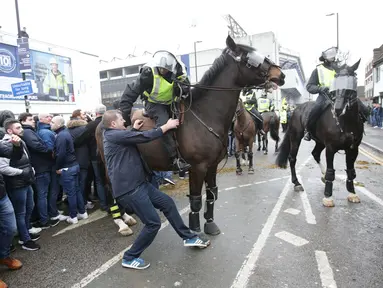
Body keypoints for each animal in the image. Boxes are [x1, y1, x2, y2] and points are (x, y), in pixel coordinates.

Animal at [97, 35, 286, 235]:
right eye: (250, 59)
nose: (280, 75)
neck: (205, 115)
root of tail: (103, 122)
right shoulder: (197, 167)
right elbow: (195, 200)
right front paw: (195, 229)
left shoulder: (212, 165)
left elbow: (211, 194)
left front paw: (210, 224)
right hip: (109, 167)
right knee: (112, 191)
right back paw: (122, 221)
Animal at [276, 59, 364, 207]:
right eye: (336, 79)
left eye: (352, 79)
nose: (338, 109)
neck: (346, 123)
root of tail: (296, 109)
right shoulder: (331, 148)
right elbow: (331, 172)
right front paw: (328, 196)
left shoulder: (353, 149)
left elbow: (351, 171)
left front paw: (352, 193)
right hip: (295, 137)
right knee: (292, 158)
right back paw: (297, 183)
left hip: (320, 142)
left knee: (315, 153)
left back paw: (321, 176)